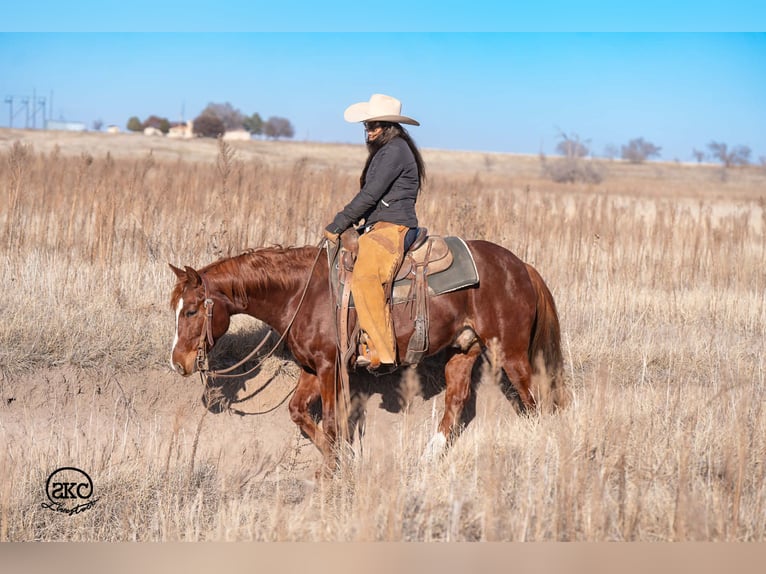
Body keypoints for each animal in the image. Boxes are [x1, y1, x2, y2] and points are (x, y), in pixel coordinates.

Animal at [169, 239, 567, 475]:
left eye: (190, 310)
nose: (178, 362)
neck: (303, 293)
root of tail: (521, 267)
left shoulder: (330, 368)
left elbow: (332, 421)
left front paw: (334, 468)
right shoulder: (311, 368)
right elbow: (298, 412)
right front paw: (341, 458)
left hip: (510, 351)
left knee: (534, 397)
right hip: (464, 349)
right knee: (456, 401)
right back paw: (428, 459)